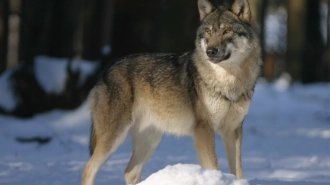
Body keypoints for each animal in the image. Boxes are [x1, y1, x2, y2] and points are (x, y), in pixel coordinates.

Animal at [82, 0, 260, 184]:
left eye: (227, 31)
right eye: (208, 32)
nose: (210, 51)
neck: (229, 81)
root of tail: (106, 70)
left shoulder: (233, 130)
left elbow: (238, 171)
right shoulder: (204, 130)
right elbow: (214, 166)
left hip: (150, 140)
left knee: (130, 172)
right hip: (114, 137)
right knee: (89, 168)